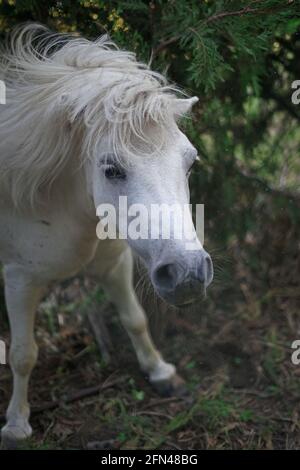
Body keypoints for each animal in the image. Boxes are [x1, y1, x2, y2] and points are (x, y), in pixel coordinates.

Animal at [0, 23, 213, 448]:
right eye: (112, 169)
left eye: (190, 162)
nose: (188, 275)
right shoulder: (18, 279)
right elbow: (23, 354)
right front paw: (16, 426)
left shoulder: (114, 263)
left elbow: (135, 319)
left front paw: (160, 372)